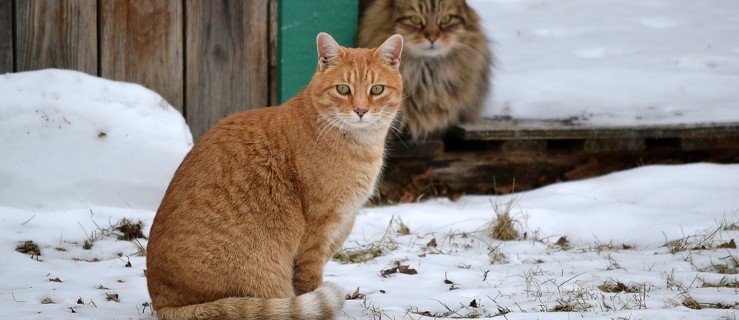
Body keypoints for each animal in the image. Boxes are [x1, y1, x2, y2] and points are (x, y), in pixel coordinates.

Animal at [146, 33, 404, 320]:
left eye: (377, 90)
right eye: (343, 89)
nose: (360, 110)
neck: (360, 145)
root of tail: (162, 303)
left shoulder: (341, 226)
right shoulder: (317, 232)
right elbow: (308, 282)